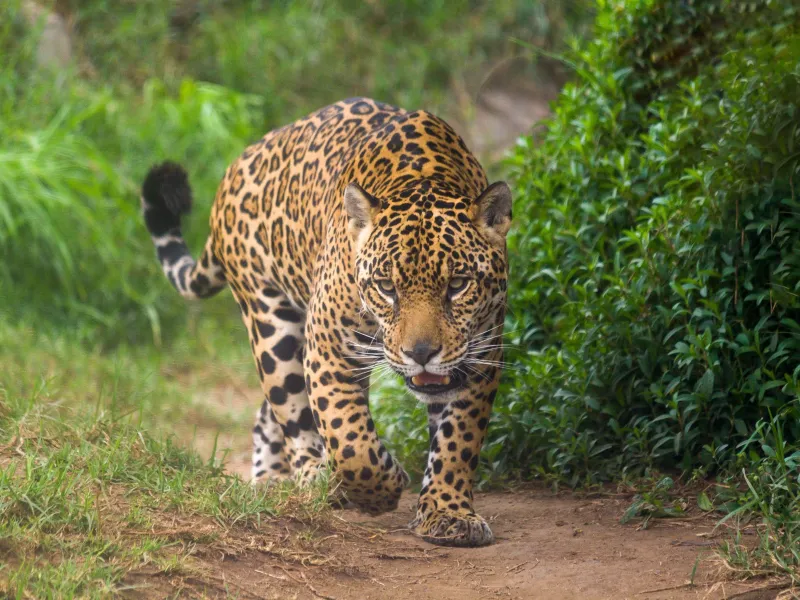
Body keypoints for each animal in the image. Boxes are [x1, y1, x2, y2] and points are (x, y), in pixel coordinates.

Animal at [140, 97, 512, 547]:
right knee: (290, 407)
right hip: (271, 324)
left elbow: (458, 440)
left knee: (269, 413)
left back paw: (274, 478)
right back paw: (313, 478)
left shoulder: (480, 358)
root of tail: (237, 167)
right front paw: (381, 489)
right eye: (386, 287)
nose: (421, 353)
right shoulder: (328, 351)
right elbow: (351, 442)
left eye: (457, 284)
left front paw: (448, 512)